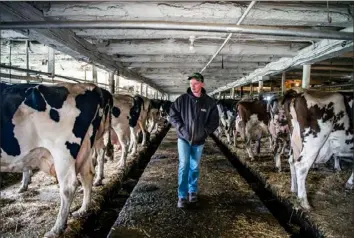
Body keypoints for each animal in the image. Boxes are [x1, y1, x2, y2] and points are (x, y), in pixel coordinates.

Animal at [0, 82, 113, 236]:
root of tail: (90, 86)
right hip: (86, 145)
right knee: (88, 174)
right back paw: (82, 210)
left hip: (62, 151)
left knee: (69, 186)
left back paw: (57, 229)